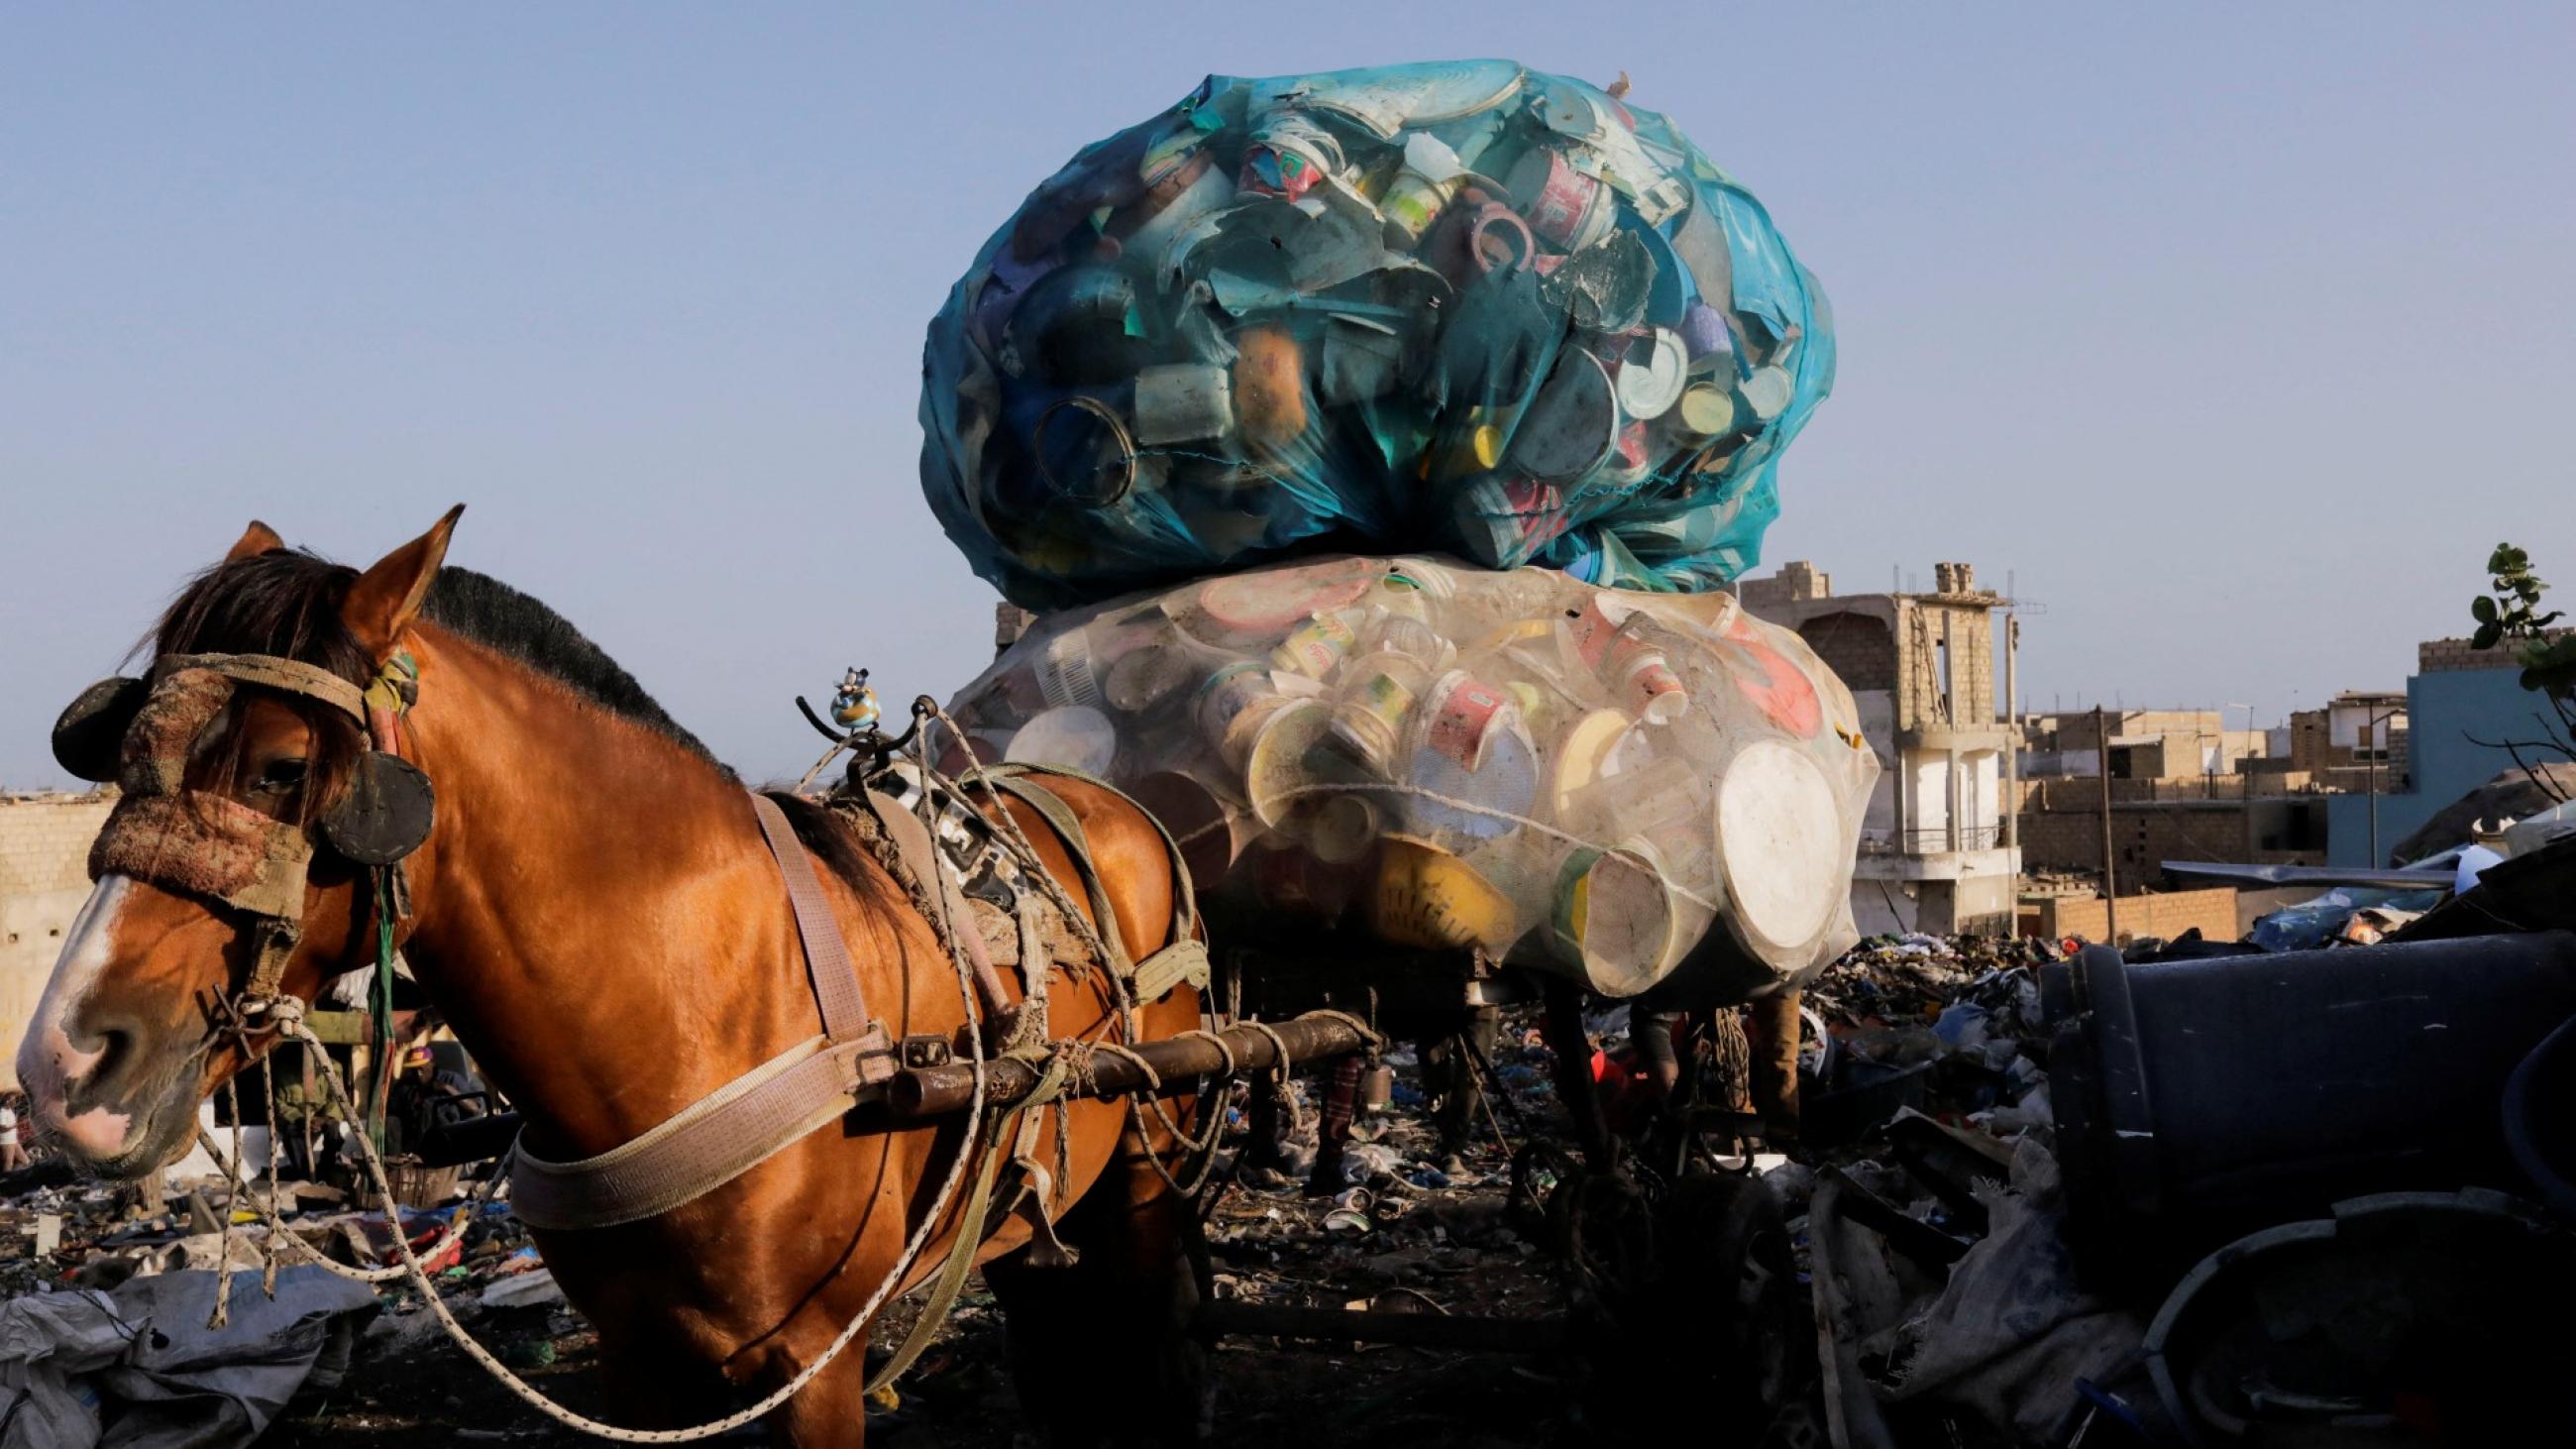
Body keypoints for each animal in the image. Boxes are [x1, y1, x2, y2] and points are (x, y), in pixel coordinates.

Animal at [12, 510, 1216, 1443]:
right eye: (119, 751)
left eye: (283, 767)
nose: (65, 1066)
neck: (691, 1004)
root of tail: (1106, 803)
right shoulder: (637, 1366)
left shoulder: (817, 1369)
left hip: (1146, 1165)